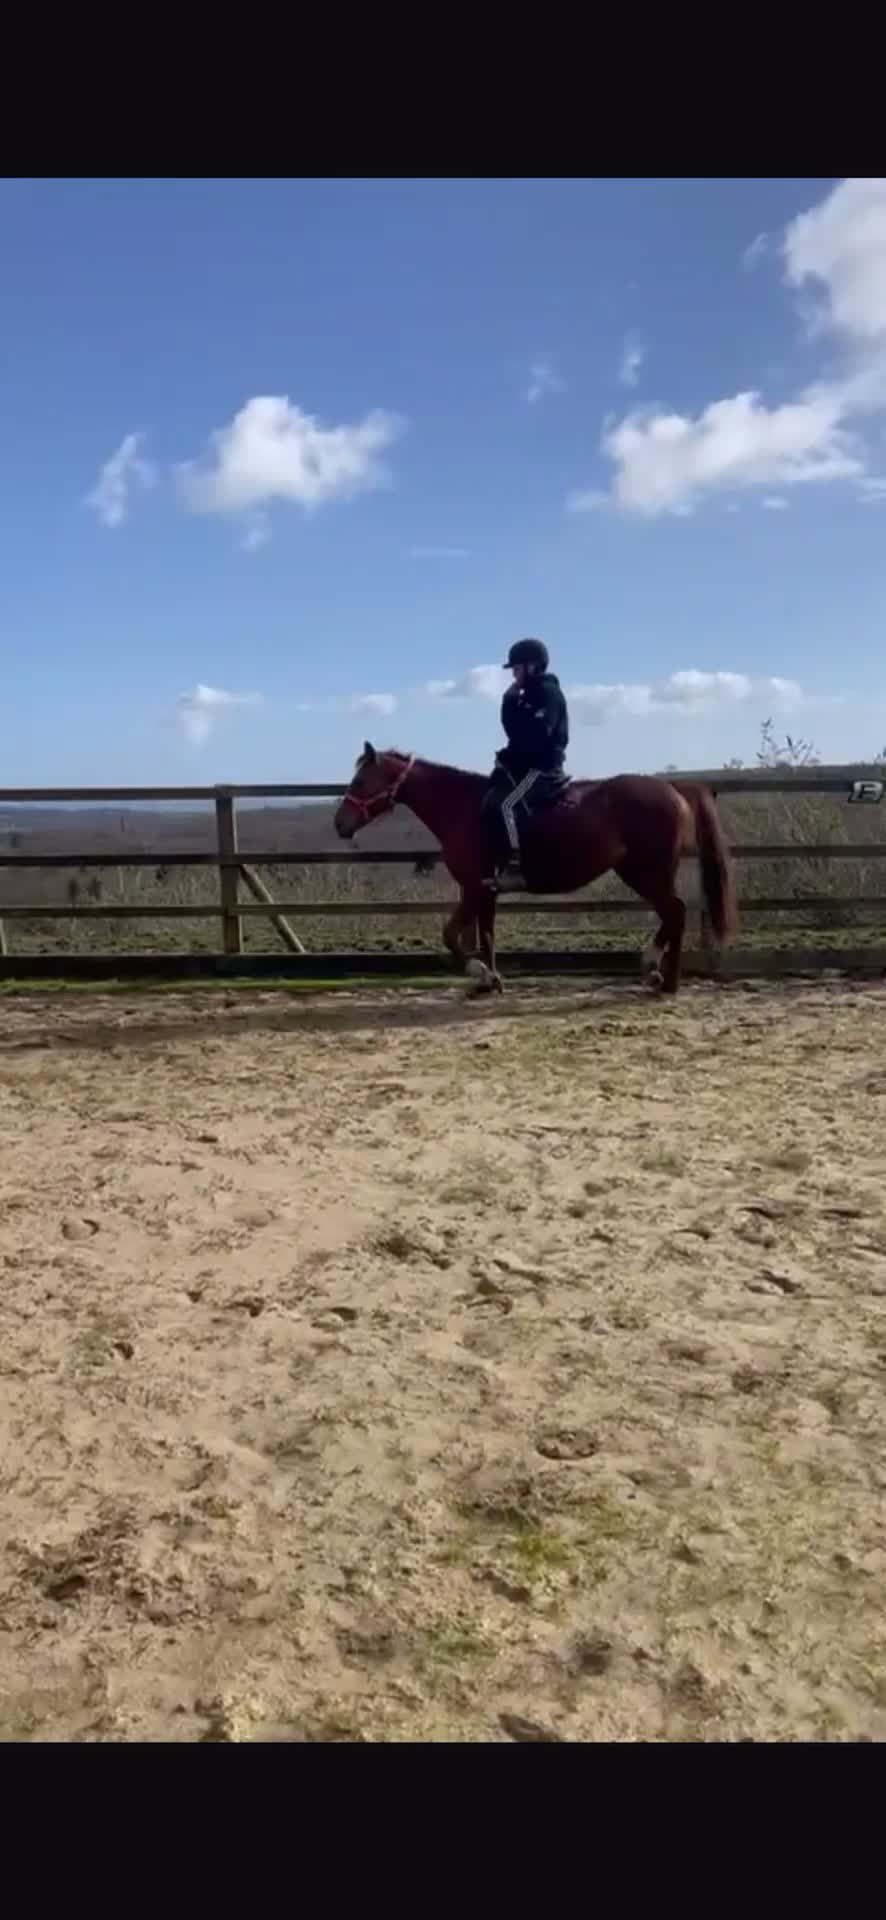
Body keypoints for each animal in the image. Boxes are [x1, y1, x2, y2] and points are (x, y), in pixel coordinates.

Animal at [334, 743, 737, 996]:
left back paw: (658, 973)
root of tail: (674, 788)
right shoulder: (485, 889)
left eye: (360, 780)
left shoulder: (475, 886)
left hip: (646, 872)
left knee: (675, 912)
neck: (464, 807)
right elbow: (486, 934)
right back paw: (662, 977)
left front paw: (479, 973)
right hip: (647, 872)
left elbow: (450, 935)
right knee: (674, 914)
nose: (340, 824)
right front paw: (490, 981)